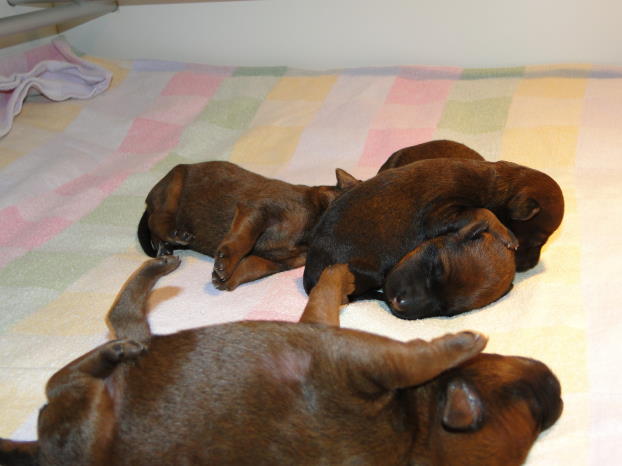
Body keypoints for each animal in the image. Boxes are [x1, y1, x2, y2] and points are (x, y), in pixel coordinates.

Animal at [0, 257, 562, 465]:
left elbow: (407, 355)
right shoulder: (339, 342)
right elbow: (331, 300)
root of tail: (37, 448)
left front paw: (458, 343)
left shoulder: (347, 354)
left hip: (88, 432)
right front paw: (343, 274)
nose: (556, 386)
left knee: (98, 351)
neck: (414, 430)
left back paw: (123, 344)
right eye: (532, 404)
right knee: (106, 338)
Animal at [137, 161, 359, 290]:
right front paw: (226, 263)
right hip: (175, 185)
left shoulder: (278, 262)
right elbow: (243, 240)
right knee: (156, 218)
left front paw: (226, 279)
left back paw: (165, 247)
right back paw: (175, 235)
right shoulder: (258, 209)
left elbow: (252, 267)